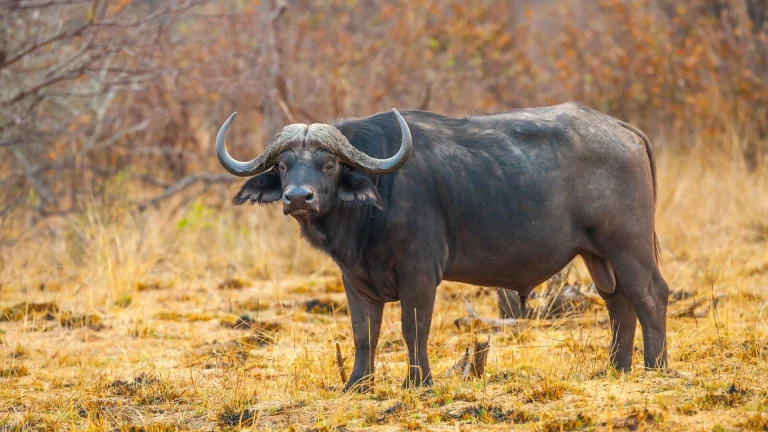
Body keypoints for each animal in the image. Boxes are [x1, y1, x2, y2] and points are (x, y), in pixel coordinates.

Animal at [215, 103, 669, 391]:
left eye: (328, 164)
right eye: (283, 165)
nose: (298, 198)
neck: (378, 199)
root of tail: (625, 131)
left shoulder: (419, 273)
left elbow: (413, 327)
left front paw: (418, 382)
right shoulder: (355, 280)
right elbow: (364, 333)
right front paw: (357, 384)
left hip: (627, 245)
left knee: (651, 296)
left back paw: (655, 367)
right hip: (598, 256)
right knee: (618, 303)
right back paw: (617, 369)